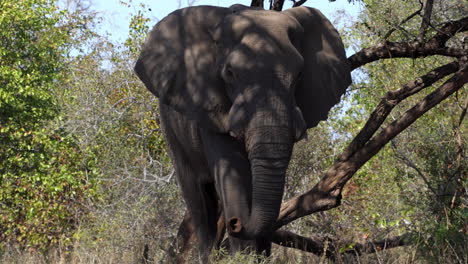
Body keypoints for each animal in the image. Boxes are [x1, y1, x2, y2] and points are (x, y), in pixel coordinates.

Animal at [133, 3, 350, 260]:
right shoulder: (210, 107)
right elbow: (233, 172)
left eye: (299, 74)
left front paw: (260, 258)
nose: (235, 223)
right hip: (172, 131)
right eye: (229, 73)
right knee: (198, 200)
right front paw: (243, 257)